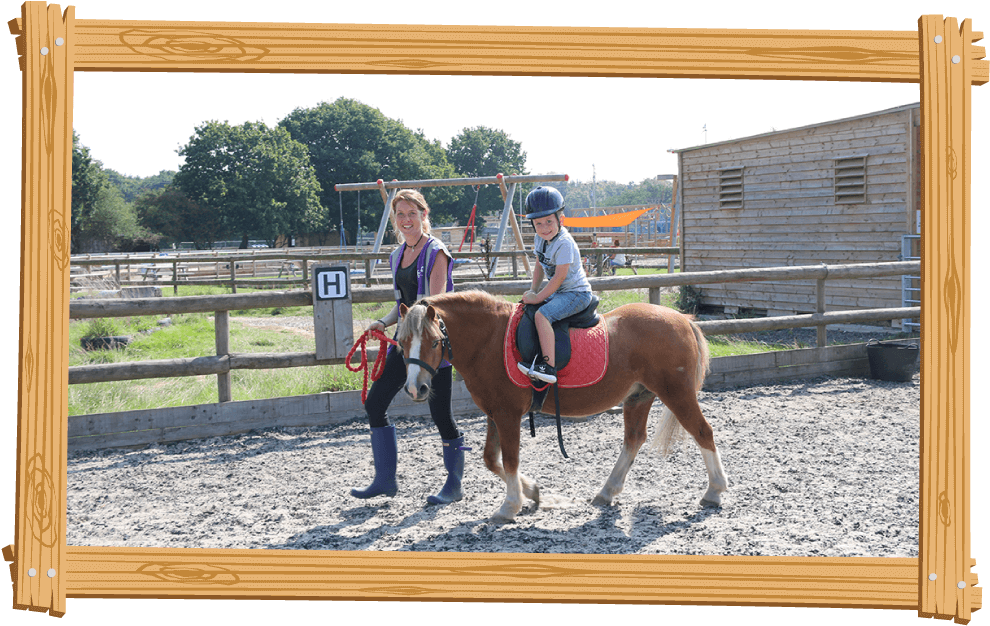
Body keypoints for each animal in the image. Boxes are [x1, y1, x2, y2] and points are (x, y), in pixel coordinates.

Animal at [396, 288, 728, 520]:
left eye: (435, 341)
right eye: (402, 342)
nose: (415, 388)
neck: (489, 340)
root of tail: (681, 319)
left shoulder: (507, 414)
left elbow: (510, 459)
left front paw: (510, 506)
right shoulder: (493, 413)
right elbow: (491, 459)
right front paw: (532, 491)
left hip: (676, 394)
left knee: (703, 432)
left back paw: (714, 491)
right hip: (639, 397)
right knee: (634, 440)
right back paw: (607, 491)